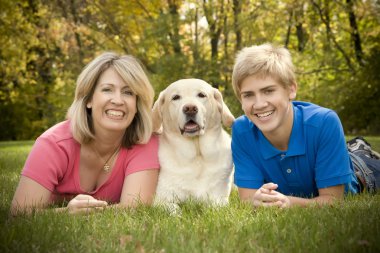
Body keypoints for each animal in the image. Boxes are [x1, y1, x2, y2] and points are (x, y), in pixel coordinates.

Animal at [152, 78, 235, 209]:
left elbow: (216, 206)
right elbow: (174, 208)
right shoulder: (161, 199)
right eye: (176, 97)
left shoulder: (220, 198)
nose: (190, 108)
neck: (197, 155)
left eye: (201, 95)